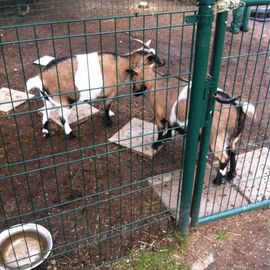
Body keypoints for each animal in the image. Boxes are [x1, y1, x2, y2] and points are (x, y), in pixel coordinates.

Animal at [26, 39, 165, 138]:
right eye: (151, 59)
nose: (163, 62)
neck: (120, 65)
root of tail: (40, 78)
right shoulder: (111, 92)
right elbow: (107, 106)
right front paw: (108, 122)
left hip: (48, 99)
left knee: (46, 112)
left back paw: (46, 131)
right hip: (63, 101)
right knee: (62, 117)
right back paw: (70, 134)